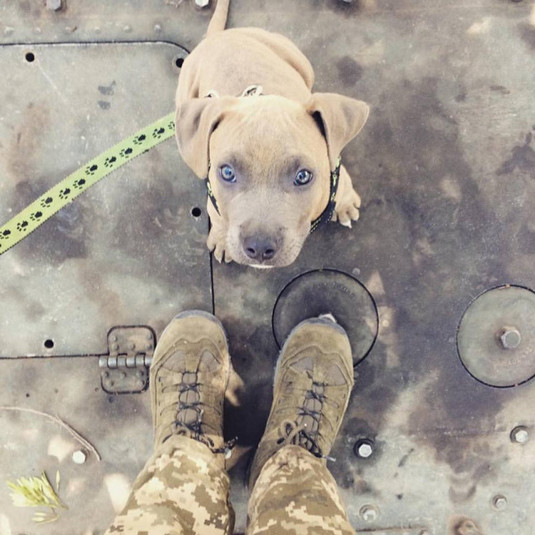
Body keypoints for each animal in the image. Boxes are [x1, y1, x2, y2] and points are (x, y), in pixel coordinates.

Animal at [175, 0, 369, 268]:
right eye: (227, 172)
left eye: (303, 176)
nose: (259, 247)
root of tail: (218, 37)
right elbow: (218, 216)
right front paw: (222, 238)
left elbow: (344, 191)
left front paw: (346, 205)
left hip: (294, 56)